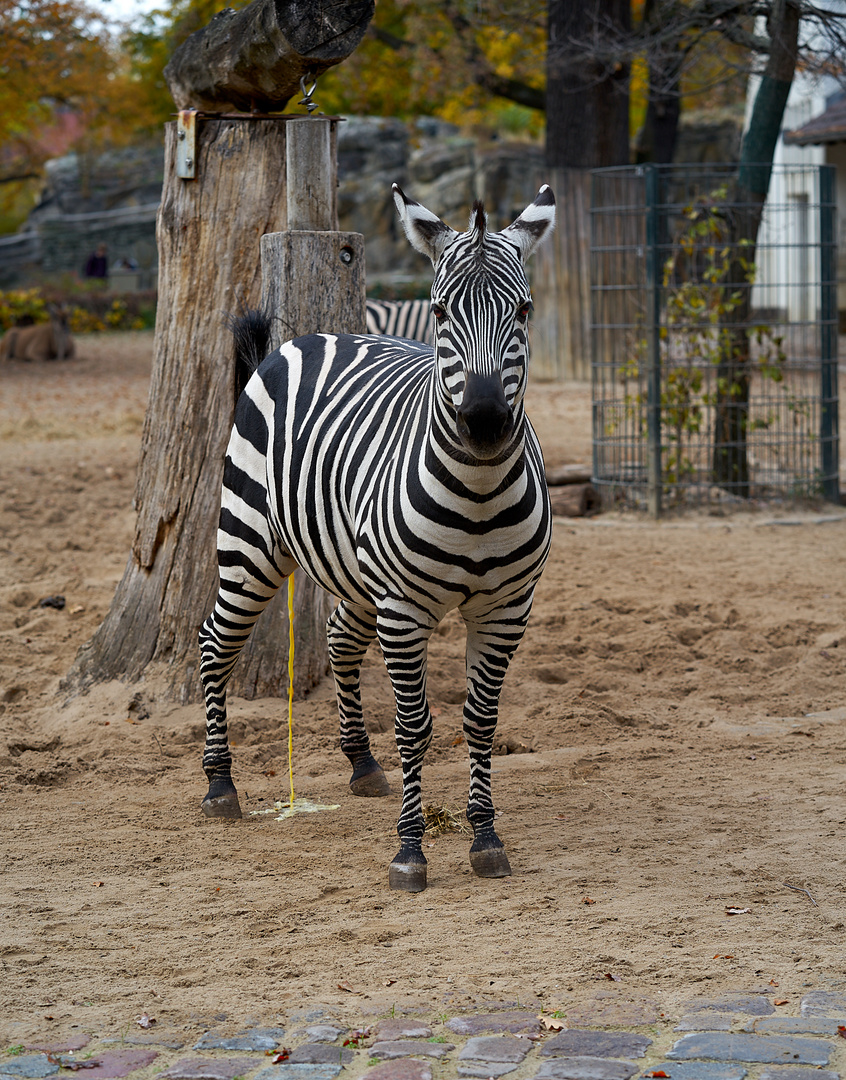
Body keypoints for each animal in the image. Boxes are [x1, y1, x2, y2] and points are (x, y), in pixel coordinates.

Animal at [197, 183, 557, 894]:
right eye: (441, 311)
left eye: (525, 310)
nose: (483, 423)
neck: (479, 493)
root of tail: (308, 337)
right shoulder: (405, 609)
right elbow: (415, 727)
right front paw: (411, 851)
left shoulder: (506, 610)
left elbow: (479, 720)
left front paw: (485, 837)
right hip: (249, 545)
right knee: (214, 644)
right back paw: (221, 784)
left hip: (355, 572)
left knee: (338, 638)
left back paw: (362, 764)